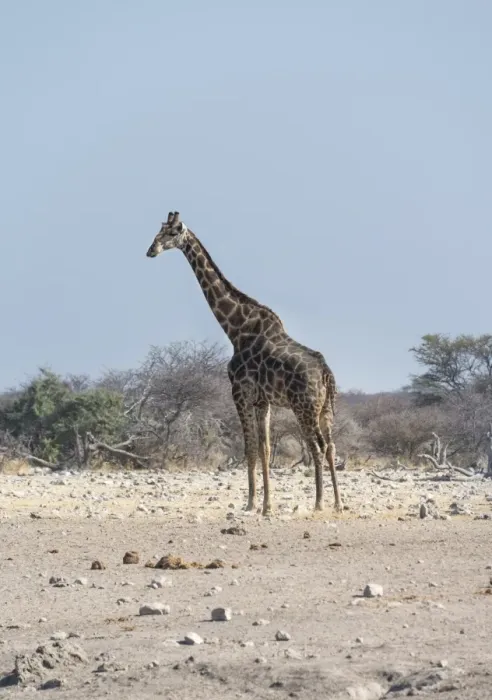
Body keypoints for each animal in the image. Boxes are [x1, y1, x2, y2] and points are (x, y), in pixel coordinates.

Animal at [146, 211, 343, 516]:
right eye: (159, 231)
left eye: (171, 232)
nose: (150, 250)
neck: (236, 329)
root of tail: (325, 373)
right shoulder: (262, 400)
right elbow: (264, 449)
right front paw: (265, 505)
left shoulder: (239, 392)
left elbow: (249, 448)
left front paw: (250, 504)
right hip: (326, 408)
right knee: (332, 446)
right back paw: (338, 503)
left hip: (304, 407)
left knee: (318, 447)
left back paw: (319, 503)